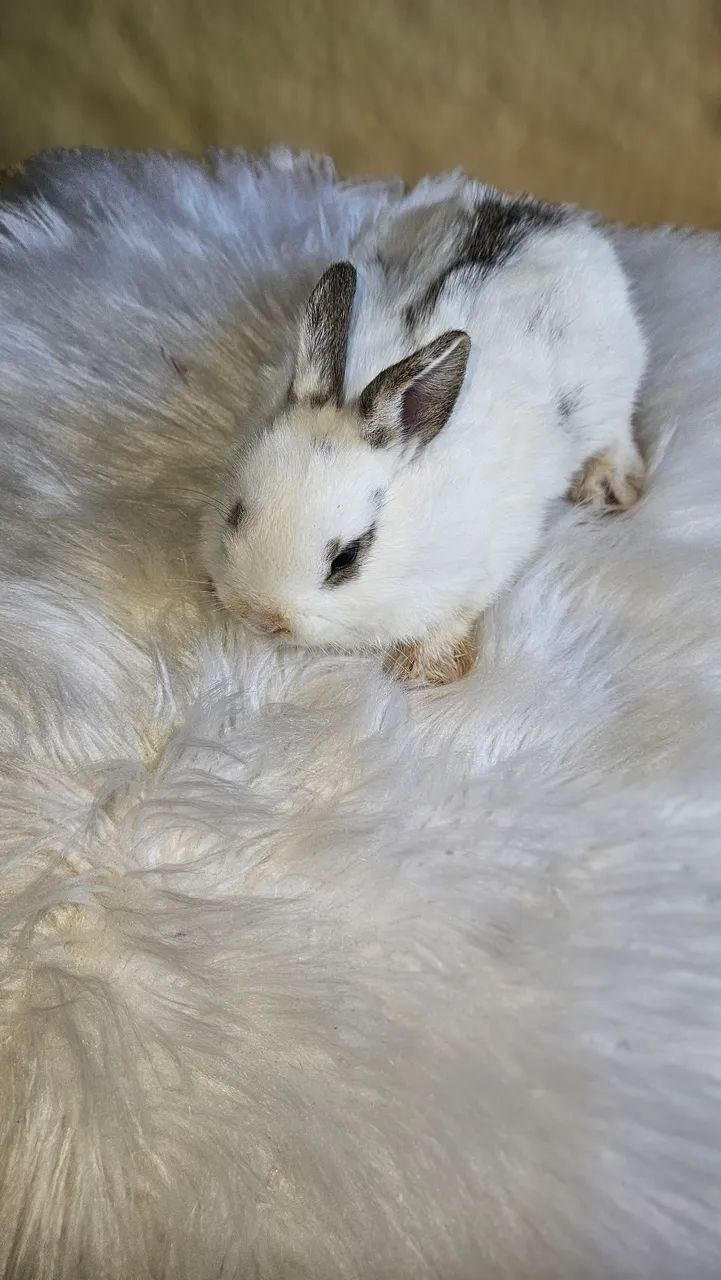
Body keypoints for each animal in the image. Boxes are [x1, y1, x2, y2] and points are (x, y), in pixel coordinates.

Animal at [202, 184, 646, 686]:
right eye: (234, 516)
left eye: (346, 558)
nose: (262, 616)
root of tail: (548, 216)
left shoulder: (482, 568)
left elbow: (454, 617)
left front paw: (423, 669)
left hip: (613, 390)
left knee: (616, 433)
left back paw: (610, 489)